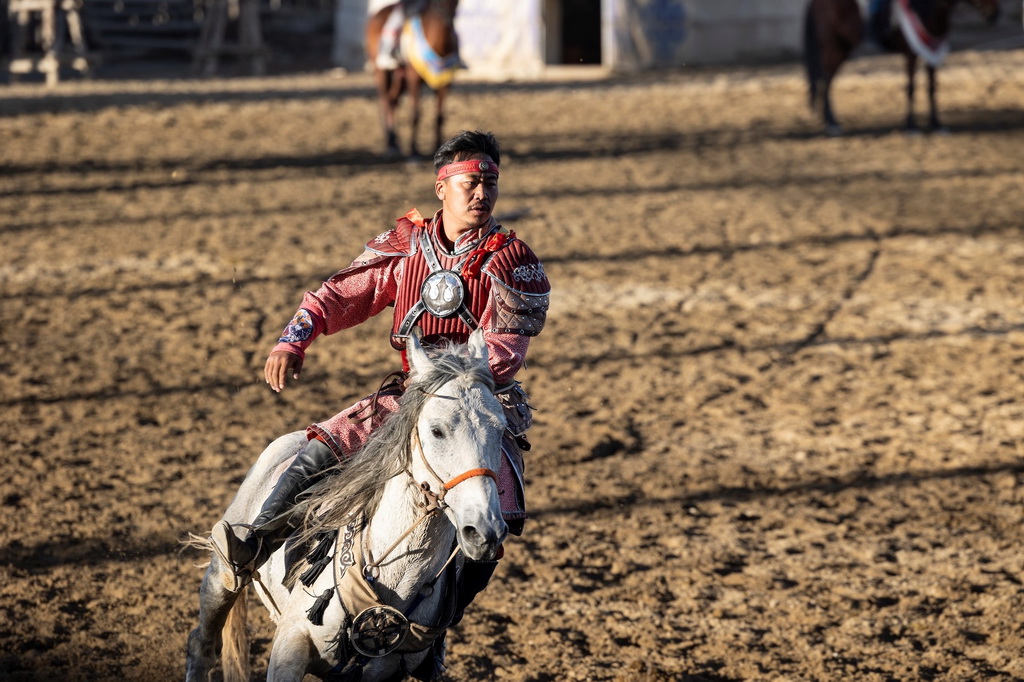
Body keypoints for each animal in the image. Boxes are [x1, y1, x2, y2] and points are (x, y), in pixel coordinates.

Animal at [187, 327, 507, 675]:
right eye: (437, 431)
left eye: (502, 430)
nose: (484, 530)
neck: (393, 577)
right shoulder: (290, 643)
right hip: (220, 578)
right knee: (203, 643)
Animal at [366, 0, 458, 156]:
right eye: (439, 3)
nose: (448, 20)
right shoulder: (414, 80)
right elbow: (415, 115)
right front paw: (414, 150)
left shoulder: (444, 83)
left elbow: (439, 116)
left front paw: (439, 147)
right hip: (382, 71)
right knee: (384, 100)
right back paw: (391, 142)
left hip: (400, 76)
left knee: (392, 100)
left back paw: (395, 140)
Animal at [798, 0, 999, 135]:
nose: (994, 14)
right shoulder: (910, 53)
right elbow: (911, 87)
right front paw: (911, 126)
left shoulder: (931, 55)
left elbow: (932, 88)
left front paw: (936, 124)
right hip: (833, 46)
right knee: (825, 80)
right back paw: (832, 123)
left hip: (843, 48)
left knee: (827, 80)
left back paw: (828, 120)